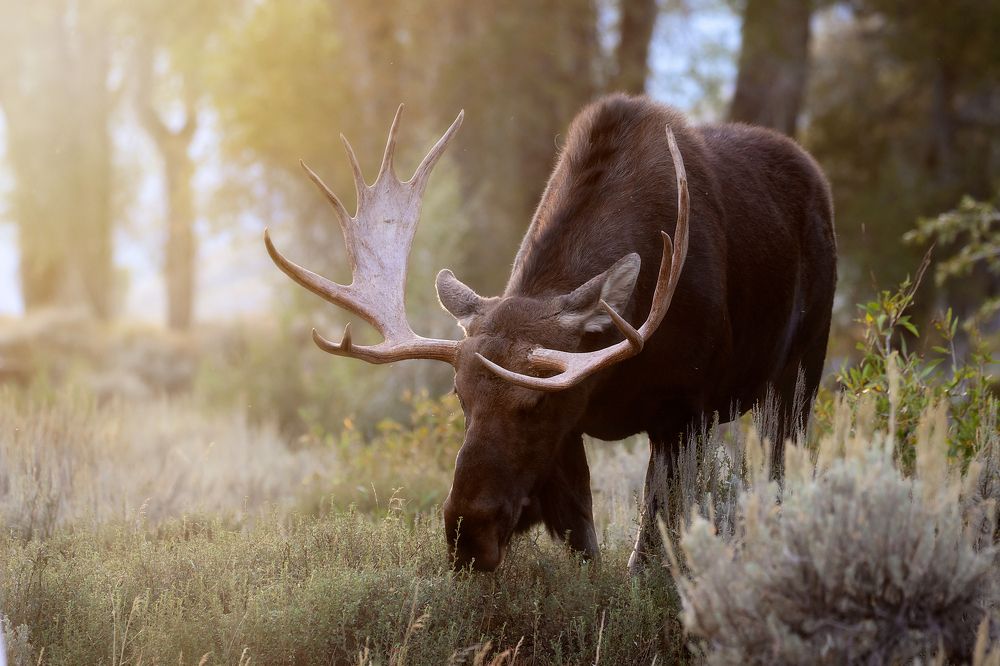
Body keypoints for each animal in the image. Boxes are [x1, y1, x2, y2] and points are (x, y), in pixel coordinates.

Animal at [265, 94, 837, 573]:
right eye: (460, 397)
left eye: (535, 401)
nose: (467, 535)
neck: (617, 378)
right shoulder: (573, 422)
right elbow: (584, 538)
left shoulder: (683, 410)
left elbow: (653, 537)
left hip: (801, 372)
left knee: (780, 471)